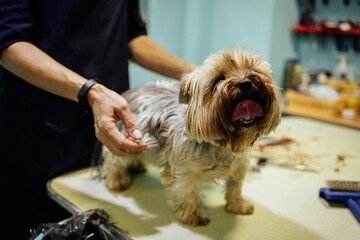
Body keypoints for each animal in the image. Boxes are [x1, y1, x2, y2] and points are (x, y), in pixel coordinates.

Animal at [101, 47, 282, 226]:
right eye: (218, 79)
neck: (222, 144)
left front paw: (237, 205)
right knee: (113, 160)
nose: (245, 83)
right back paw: (117, 180)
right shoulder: (184, 171)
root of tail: (129, 92)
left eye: (253, 70)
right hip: (127, 140)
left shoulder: (240, 164)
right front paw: (194, 215)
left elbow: (235, 187)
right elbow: (188, 193)